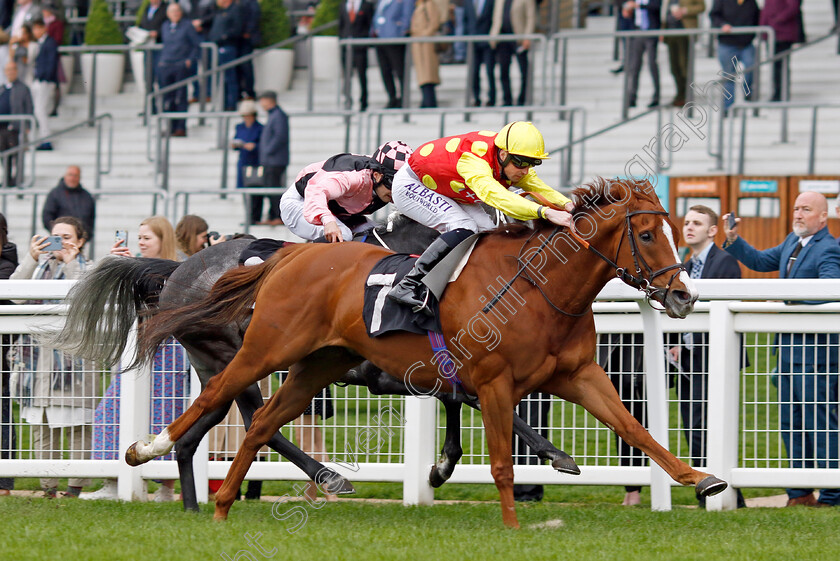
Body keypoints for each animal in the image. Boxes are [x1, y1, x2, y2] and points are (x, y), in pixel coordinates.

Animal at [128, 178, 724, 524]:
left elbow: (634, 428)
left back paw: (212, 502)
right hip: (255, 352)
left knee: (252, 422)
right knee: (224, 404)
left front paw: (702, 480)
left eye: (676, 230)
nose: (683, 295)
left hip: (312, 363)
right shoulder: (489, 378)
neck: (537, 285)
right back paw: (147, 449)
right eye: (646, 235)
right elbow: (498, 447)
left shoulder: (578, 374)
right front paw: (509, 506)